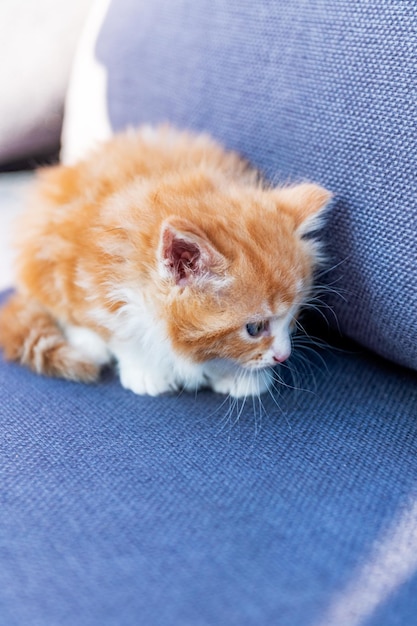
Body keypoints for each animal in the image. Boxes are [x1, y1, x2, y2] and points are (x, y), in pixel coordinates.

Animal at [0, 127, 332, 398]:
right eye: (255, 328)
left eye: (294, 316)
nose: (283, 357)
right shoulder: (88, 271)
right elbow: (117, 331)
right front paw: (144, 370)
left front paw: (238, 376)